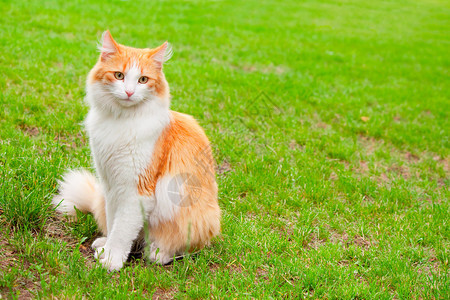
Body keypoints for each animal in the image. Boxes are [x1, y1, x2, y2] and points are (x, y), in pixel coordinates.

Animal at [51, 31, 221, 272]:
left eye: (143, 80)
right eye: (119, 75)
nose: (129, 92)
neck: (122, 120)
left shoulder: (136, 190)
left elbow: (122, 231)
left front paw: (112, 260)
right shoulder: (111, 185)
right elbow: (114, 222)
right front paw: (108, 249)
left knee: (180, 249)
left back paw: (157, 253)